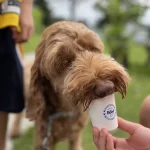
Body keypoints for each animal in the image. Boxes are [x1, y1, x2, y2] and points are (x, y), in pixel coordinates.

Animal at [26, 21, 129, 150]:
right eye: (64, 62)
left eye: (93, 48)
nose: (106, 87)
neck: (66, 110)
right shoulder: (43, 139)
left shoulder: (76, 136)